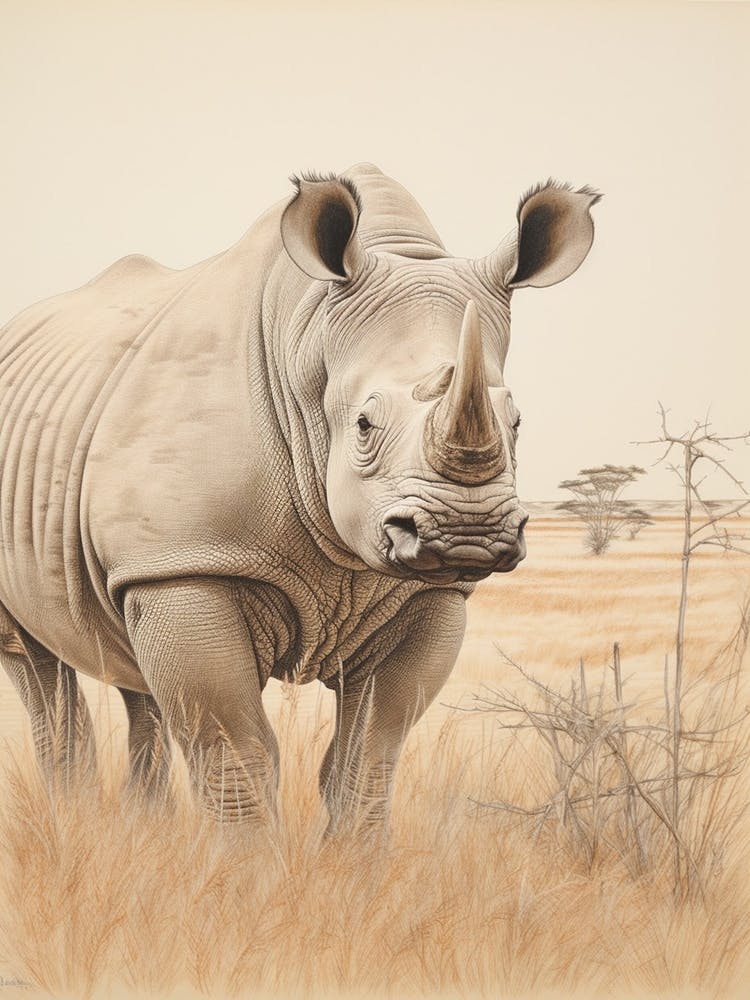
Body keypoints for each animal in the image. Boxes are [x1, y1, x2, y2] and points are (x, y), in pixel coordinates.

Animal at [0, 163, 599, 831]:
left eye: (516, 421)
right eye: (363, 425)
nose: (466, 534)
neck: (309, 338)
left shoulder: (433, 592)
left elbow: (369, 751)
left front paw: (354, 859)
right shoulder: (184, 565)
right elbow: (237, 752)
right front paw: (246, 862)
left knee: (132, 668)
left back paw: (142, 828)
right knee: (38, 668)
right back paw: (74, 820)